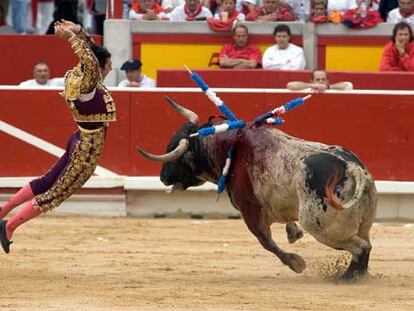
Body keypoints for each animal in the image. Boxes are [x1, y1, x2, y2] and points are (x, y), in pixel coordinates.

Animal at [137, 97, 376, 280]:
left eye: (173, 152)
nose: (162, 177)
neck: (230, 148)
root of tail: (352, 168)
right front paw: (293, 234)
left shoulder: (250, 211)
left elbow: (266, 242)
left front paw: (296, 263)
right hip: (361, 222)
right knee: (367, 244)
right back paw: (358, 275)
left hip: (322, 226)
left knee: (361, 247)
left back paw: (347, 277)